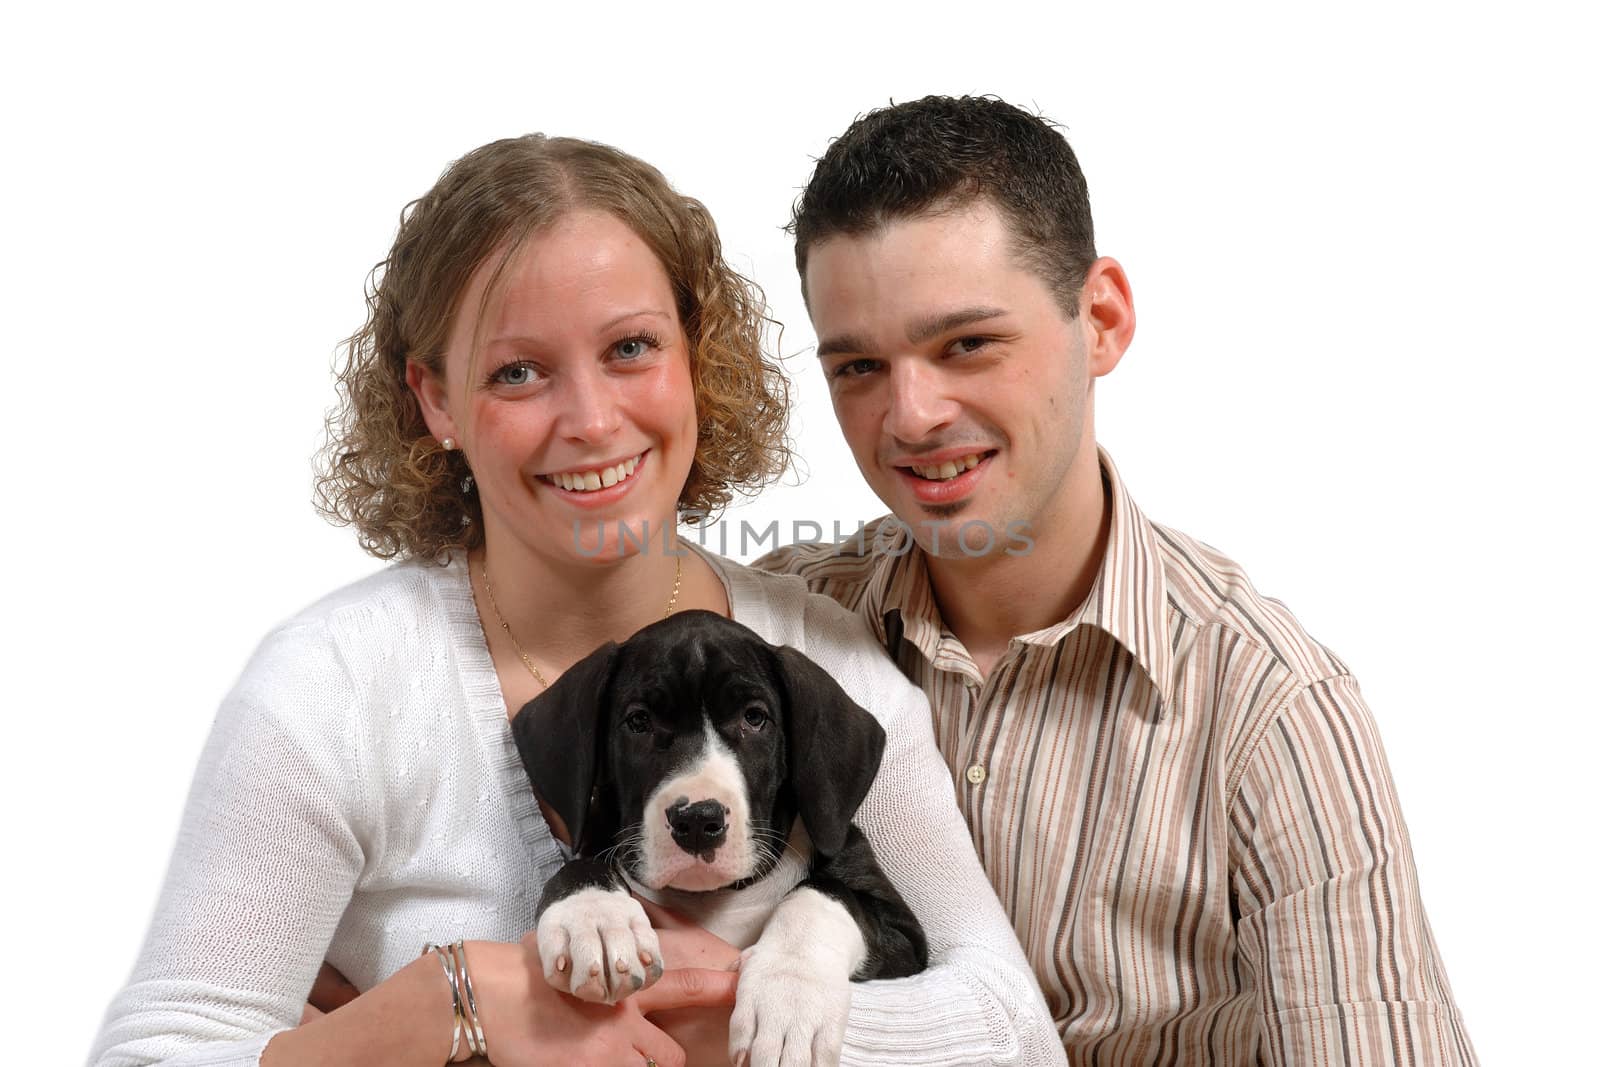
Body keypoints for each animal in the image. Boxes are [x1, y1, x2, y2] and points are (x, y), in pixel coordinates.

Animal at [512, 607, 928, 1062]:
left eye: (755, 718)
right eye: (638, 721)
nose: (696, 820)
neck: (717, 898)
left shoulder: (905, 938)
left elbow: (825, 895)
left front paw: (789, 998)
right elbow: (578, 866)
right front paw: (595, 919)